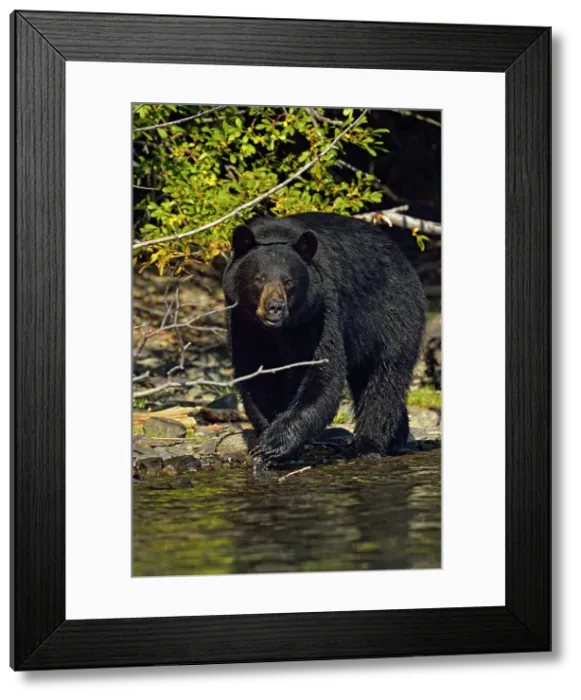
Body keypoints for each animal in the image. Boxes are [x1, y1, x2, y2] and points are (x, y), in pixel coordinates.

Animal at [221, 212, 426, 470]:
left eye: (288, 281)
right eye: (258, 279)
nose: (275, 307)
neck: (282, 330)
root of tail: (404, 259)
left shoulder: (321, 313)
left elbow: (322, 374)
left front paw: (273, 444)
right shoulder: (243, 323)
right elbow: (256, 376)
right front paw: (269, 439)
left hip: (393, 316)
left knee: (384, 380)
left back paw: (368, 445)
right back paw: (397, 439)